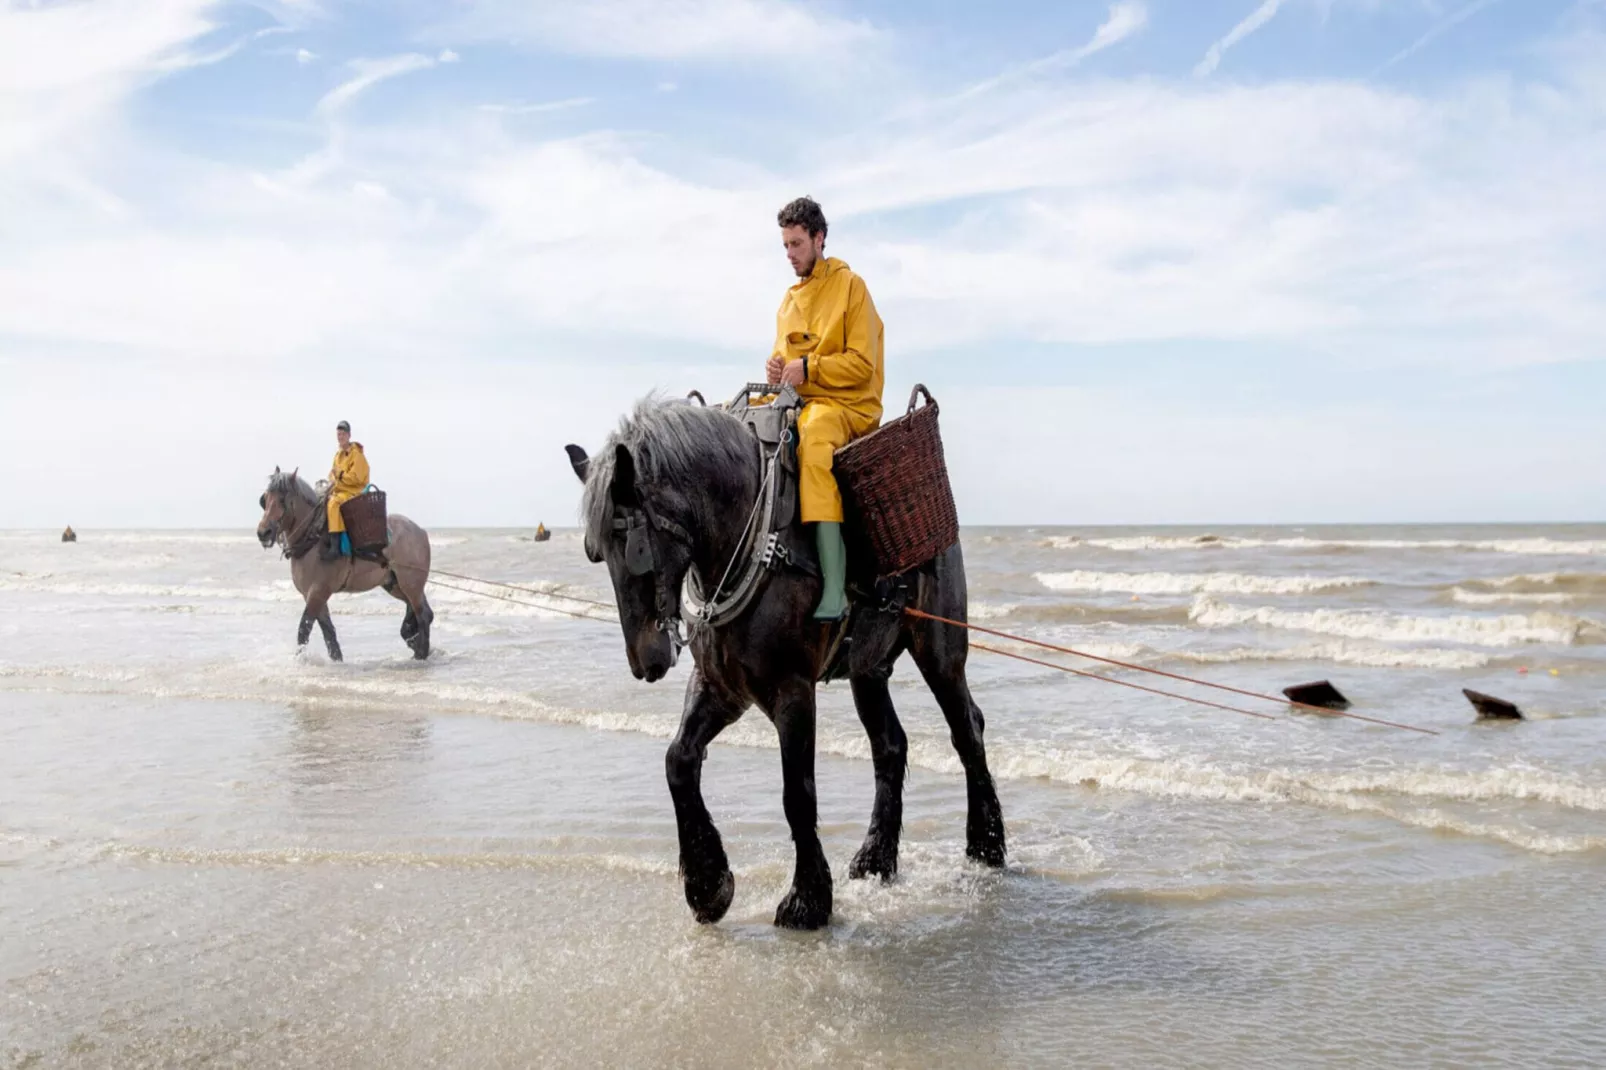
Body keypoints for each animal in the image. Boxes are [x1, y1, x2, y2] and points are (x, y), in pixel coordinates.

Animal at [253, 465, 436, 658]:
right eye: (265, 499)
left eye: (282, 499)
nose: (263, 532)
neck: (314, 539)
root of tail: (420, 531)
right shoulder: (311, 594)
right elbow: (328, 632)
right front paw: (336, 659)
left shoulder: (318, 592)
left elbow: (304, 628)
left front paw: (301, 659)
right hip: (395, 584)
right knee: (421, 611)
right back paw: (414, 641)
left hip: (411, 583)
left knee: (422, 614)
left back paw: (421, 653)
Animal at [568, 400, 1002, 925]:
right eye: (595, 553)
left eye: (632, 547)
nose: (644, 659)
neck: (750, 541)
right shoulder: (721, 687)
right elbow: (678, 760)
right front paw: (707, 884)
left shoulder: (793, 691)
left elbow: (797, 793)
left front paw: (806, 899)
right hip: (867, 668)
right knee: (890, 746)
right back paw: (875, 858)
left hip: (939, 649)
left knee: (967, 729)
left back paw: (986, 846)